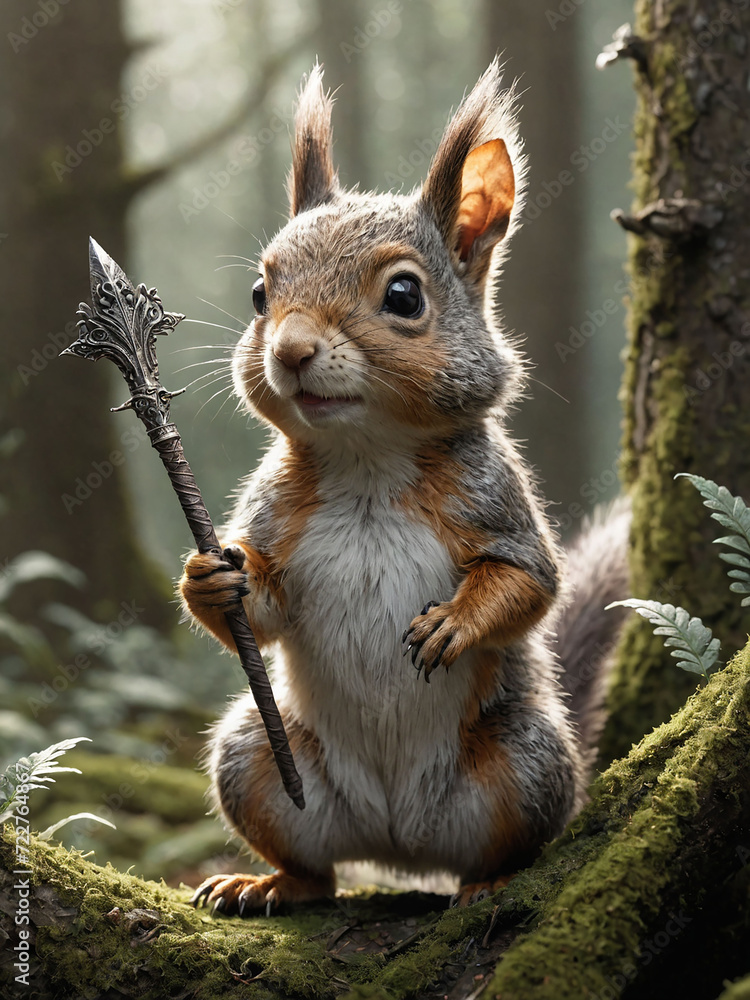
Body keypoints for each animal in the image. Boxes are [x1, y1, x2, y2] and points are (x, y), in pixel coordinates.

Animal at [182, 59, 629, 915]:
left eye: (403, 295)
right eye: (260, 294)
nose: (289, 350)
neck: (366, 460)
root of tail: (398, 844)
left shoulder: (494, 498)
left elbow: (529, 580)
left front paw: (455, 622)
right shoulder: (274, 512)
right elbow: (266, 607)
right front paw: (210, 579)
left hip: (525, 763)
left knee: (507, 843)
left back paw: (491, 882)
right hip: (259, 755)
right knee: (314, 870)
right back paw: (269, 882)